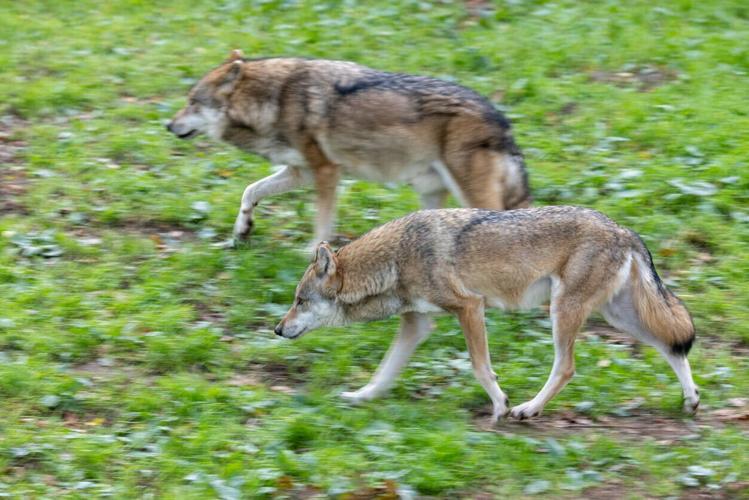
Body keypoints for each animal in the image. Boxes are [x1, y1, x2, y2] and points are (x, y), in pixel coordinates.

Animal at [167, 50, 530, 245]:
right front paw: (242, 231)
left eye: (192, 102)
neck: (277, 98)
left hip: (470, 195)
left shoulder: (327, 172)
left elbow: (323, 223)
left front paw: (312, 253)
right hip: (432, 195)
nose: (168, 125)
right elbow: (249, 191)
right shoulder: (300, 172)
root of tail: (502, 119)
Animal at [274, 206, 699, 422]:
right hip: (619, 317)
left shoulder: (470, 307)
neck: (397, 259)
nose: (277, 329)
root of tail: (624, 229)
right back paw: (691, 401)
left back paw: (528, 409)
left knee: (566, 367)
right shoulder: (417, 323)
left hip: (563, 312)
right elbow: (384, 371)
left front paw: (500, 406)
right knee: (672, 347)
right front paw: (362, 397)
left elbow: (480, 368)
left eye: (300, 300)